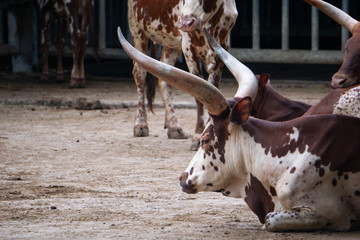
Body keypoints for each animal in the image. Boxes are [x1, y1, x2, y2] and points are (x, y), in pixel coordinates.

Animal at [128, 0, 238, 150]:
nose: (185, 23)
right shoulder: (188, 47)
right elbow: (200, 94)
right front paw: (198, 136)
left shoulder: (222, 45)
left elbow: (212, 89)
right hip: (137, 29)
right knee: (140, 74)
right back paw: (140, 125)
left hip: (170, 43)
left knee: (164, 76)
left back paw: (174, 127)